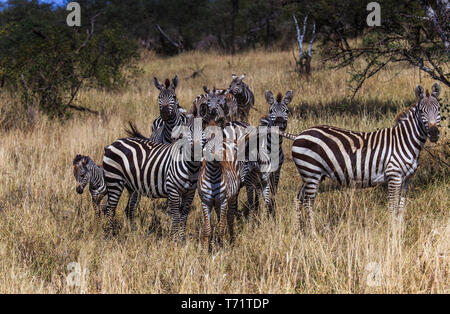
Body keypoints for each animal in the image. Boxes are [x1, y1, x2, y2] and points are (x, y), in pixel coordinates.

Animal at [280, 83, 442, 231]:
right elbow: (393, 206)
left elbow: (401, 207)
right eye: (421, 111)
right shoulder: (394, 175)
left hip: (310, 175)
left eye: (438, 109)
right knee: (308, 202)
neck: (405, 140)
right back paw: (313, 234)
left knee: (298, 198)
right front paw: (392, 234)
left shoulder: (406, 179)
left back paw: (297, 231)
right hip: (311, 172)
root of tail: (299, 135)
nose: (434, 133)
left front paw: (399, 231)